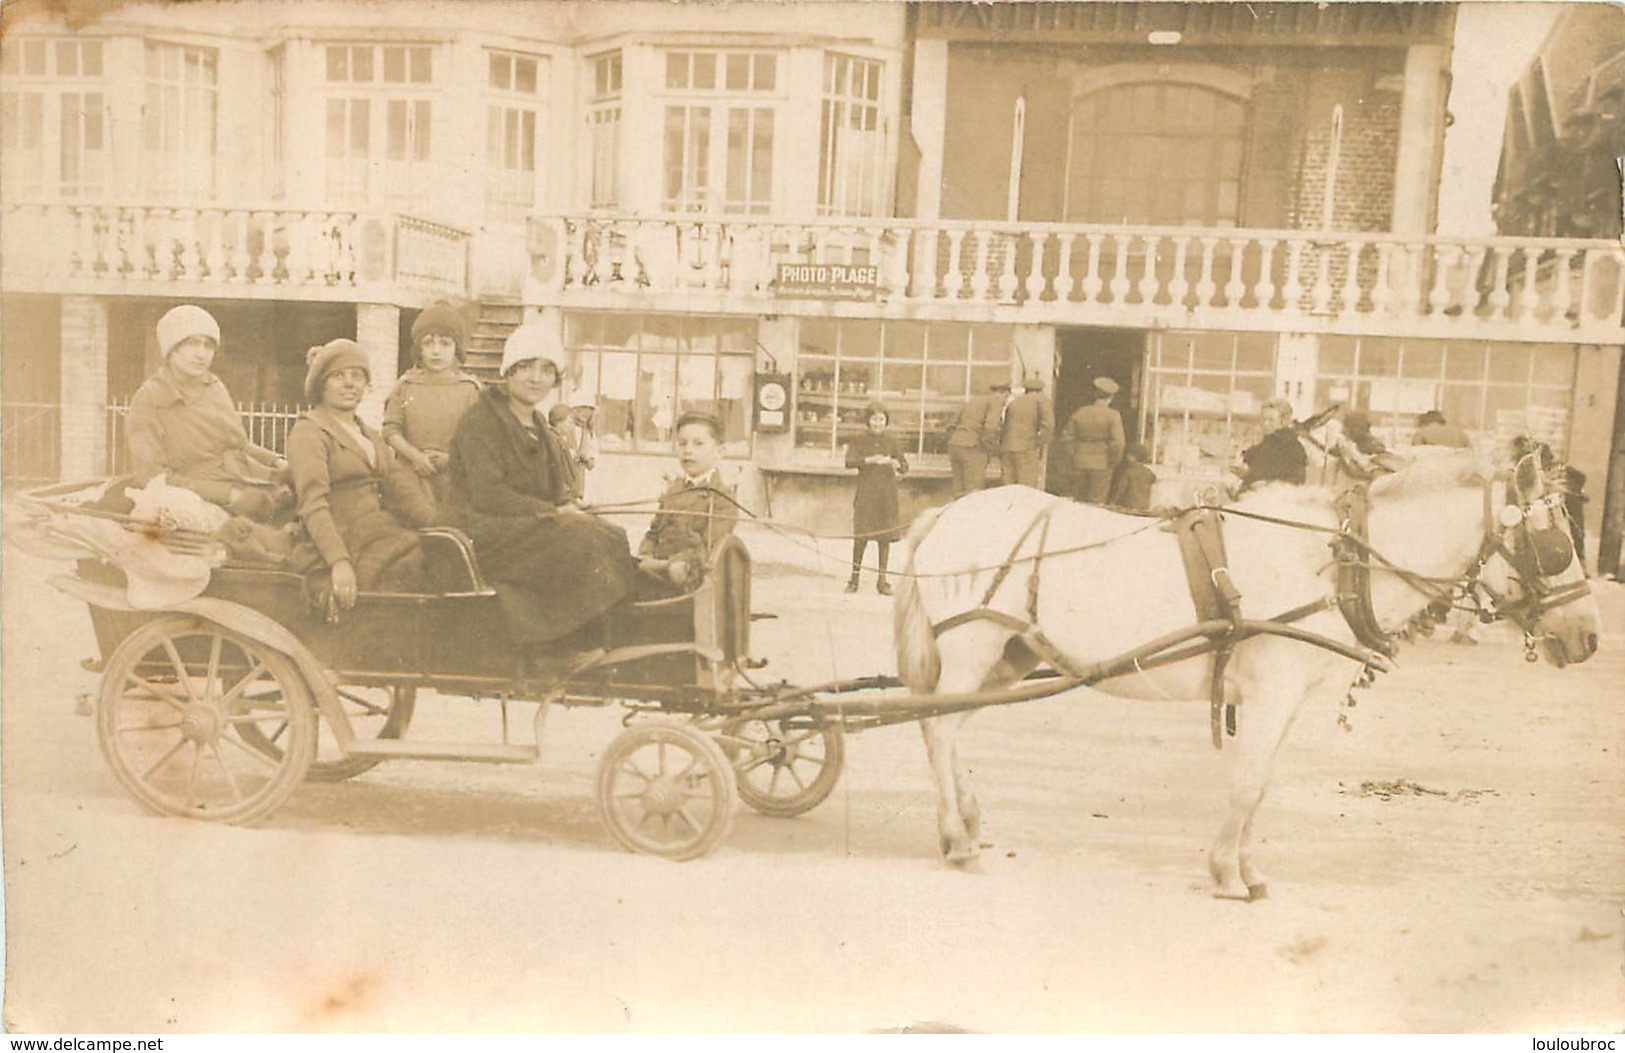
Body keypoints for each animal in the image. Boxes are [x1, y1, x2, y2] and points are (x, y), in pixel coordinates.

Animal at [897, 448, 1605, 903]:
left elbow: (1260, 787)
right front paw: (1226, 873)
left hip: (1008, 657)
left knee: (945, 729)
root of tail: (946, 514)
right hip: (975, 646)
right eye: (1557, 546)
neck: (1329, 560)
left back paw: (967, 822)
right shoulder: (1272, 694)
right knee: (938, 730)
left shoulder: (1285, 702)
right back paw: (957, 837)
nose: (1590, 636)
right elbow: (1245, 785)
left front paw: (1248, 870)